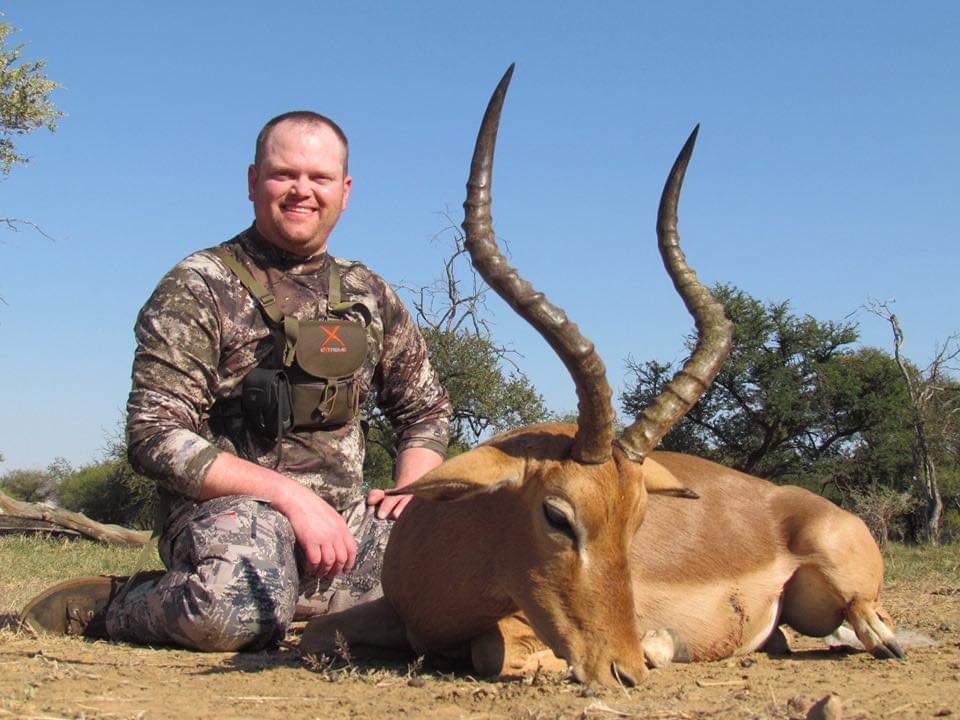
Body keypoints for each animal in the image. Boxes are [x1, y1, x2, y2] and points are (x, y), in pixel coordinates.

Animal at [300, 65, 904, 687]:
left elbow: (494, 647)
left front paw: (657, 645)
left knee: (874, 626)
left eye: (638, 523)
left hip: (847, 590)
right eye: (557, 516)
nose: (623, 669)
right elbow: (322, 634)